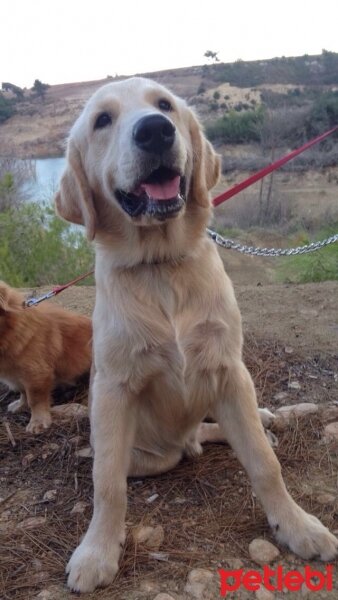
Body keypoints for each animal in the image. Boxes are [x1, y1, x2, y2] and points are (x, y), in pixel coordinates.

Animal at [0, 282, 92, 432]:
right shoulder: (20, 376)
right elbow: (23, 392)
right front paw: (21, 405)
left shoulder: (37, 374)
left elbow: (35, 400)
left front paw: (38, 422)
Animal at [54, 77, 336, 592]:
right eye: (102, 120)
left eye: (164, 105)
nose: (155, 131)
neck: (161, 265)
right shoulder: (114, 388)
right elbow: (108, 485)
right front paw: (97, 552)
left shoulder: (230, 369)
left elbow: (264, 463)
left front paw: (297, 526)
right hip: (152, 452)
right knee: (173, 450)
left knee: (215, 431)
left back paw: (260, 418)